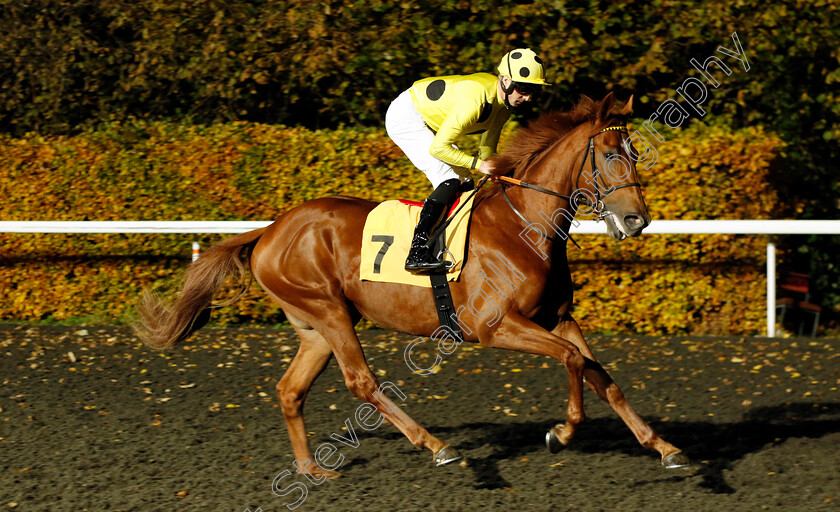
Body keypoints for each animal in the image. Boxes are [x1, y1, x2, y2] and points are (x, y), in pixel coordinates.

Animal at [136, 93, 688, 480]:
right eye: (610, 155)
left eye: (634, 151)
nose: (637, 220)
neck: (524, 224)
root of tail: (270, 229)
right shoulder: (496, 327)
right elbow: (574, 362)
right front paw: (562, 431)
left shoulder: (557, 318)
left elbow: (602, 375)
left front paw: (664, 448)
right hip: (329, 311)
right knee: (362, 382)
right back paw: (437, 446)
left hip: (316, 326)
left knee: (291, 389)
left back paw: (312, 469)